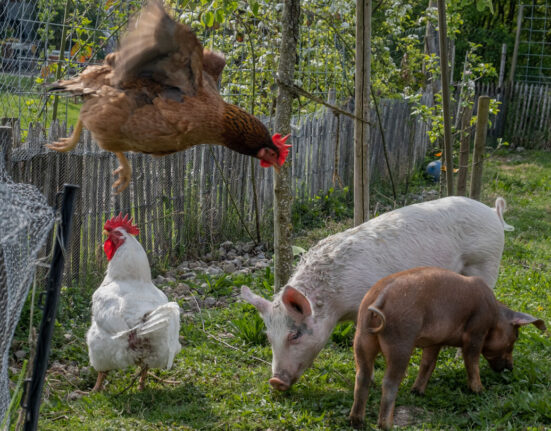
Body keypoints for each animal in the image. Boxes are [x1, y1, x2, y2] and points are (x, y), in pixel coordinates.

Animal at [242, 197, 512, 392]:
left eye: (294, 335)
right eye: (269, 337)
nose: (275, 381)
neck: (337, 305)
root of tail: (492, 212)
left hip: (487, 262)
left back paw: (457, 357)